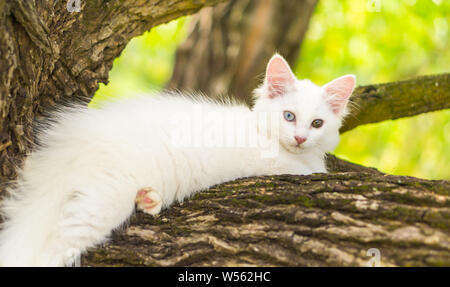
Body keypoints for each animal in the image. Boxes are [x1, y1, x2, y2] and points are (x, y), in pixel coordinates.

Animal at [0, 54, 356, 268]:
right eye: (289, 116)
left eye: (317, 124)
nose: (300, 138)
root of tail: (73, 142)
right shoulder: (277, 166)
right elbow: (303, 172)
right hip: (102, 201)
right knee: (54, 247)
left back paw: (150, 199)